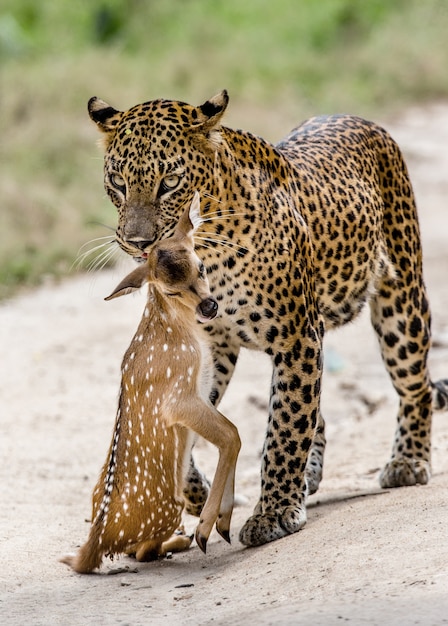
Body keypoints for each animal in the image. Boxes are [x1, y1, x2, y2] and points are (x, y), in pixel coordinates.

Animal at [86, 89, 448, 544]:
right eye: (118, 182)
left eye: (169, 182)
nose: (138, 242)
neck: (208, 250)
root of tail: (359, 119)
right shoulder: (207, 347)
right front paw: (194, 493)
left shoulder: (298, 337)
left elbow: (286, 427)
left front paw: (272, 512)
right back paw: (310, 475)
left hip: (402, 301)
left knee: (414, 385)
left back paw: (408, 461)